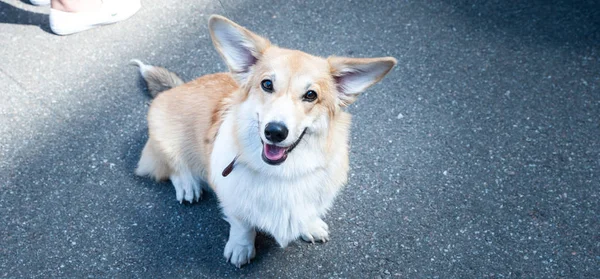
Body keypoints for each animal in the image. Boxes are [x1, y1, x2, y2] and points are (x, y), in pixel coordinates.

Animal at [132, 14, 396, 268]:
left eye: (311, 95)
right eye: (267, 84)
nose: (275, 132)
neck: (284, 174)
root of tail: (179, 86)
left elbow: (307, 213)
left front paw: (310, 225)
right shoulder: (233, 200)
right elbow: (242, 226)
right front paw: (241, 249)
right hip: (164, 136)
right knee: (172, 166)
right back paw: (188, 185)